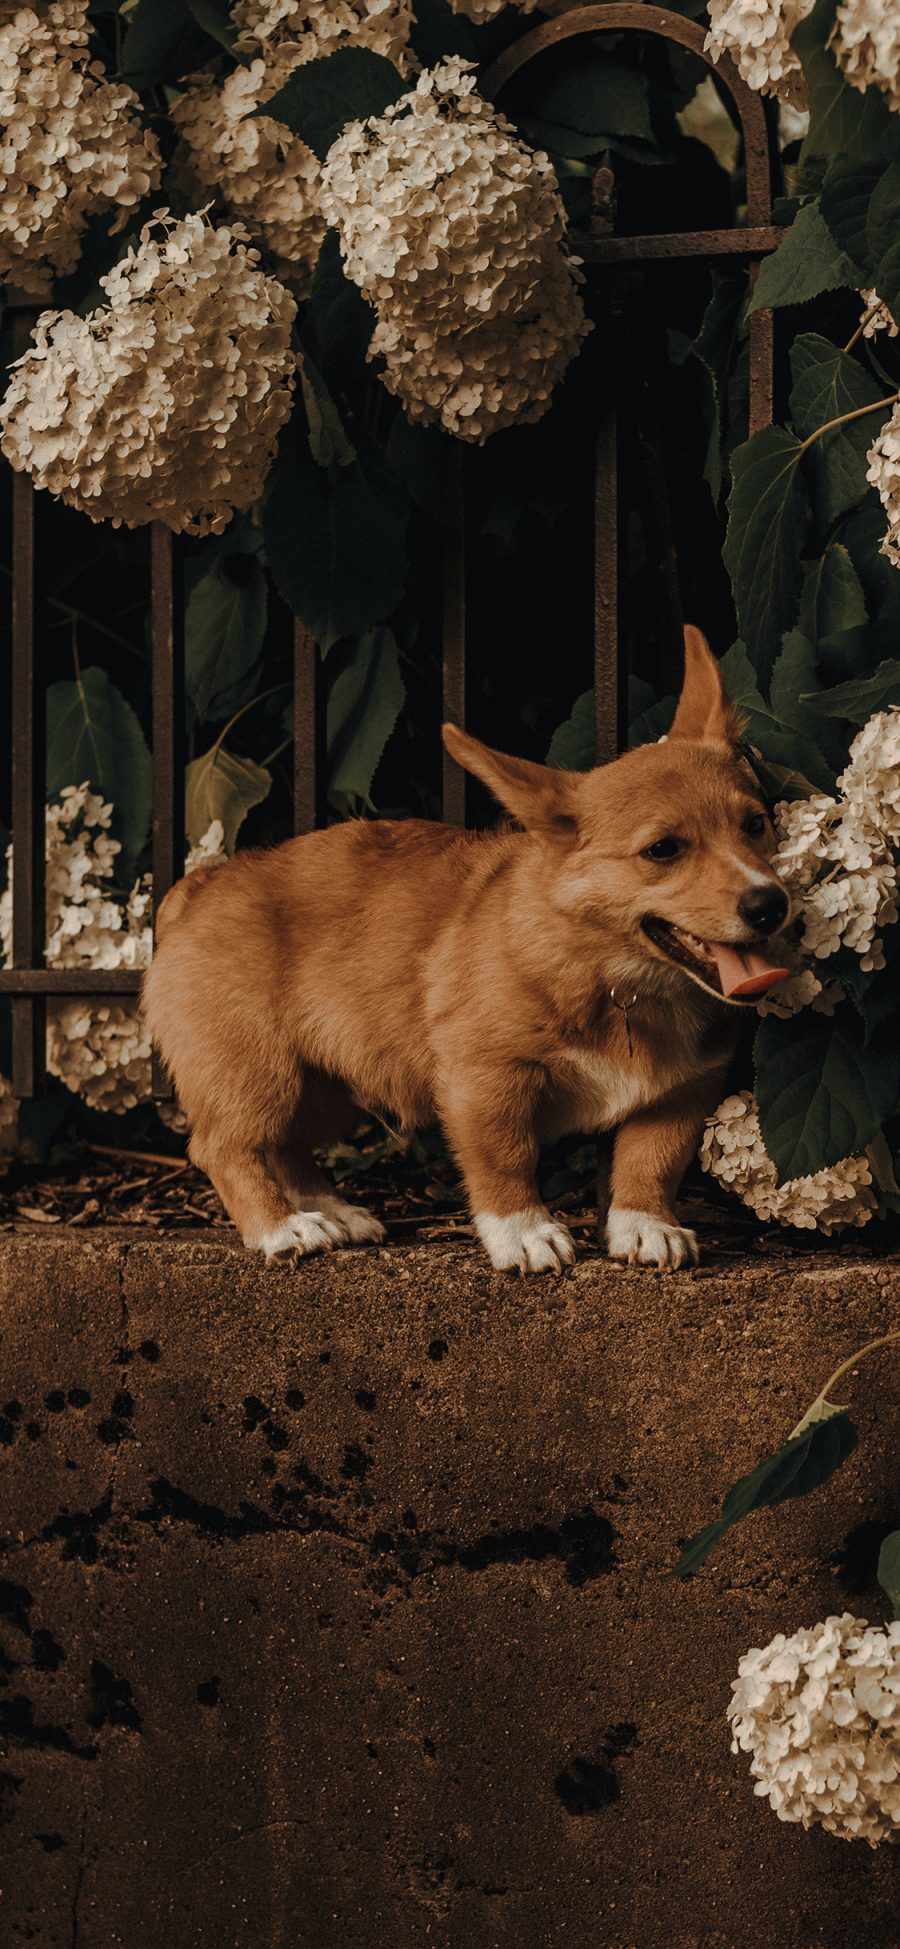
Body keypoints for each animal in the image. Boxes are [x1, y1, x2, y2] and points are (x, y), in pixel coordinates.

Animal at [140, 623, 787, 1286]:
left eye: (756, 824)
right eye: (662, 850)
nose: (770, 904)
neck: (616, 979)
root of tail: (198, 888)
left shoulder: (681, 1094)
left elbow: (650, 1163)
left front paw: (646, 1226)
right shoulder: (486, 1078)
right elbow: (507, 1159)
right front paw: (524, 1234)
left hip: (329, 1089)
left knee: (289, 1146)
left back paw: (333, 1212)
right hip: (256, 1074)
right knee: (225, 1148)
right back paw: (280, 1228)